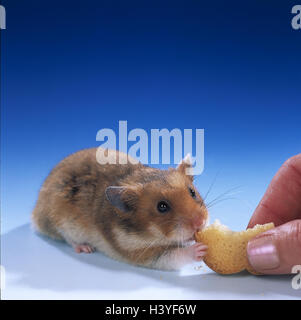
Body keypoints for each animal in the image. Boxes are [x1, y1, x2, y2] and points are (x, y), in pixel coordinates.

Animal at [31, 148, 207, 270]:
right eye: (162, 206)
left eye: (192, 192)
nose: (201, 223)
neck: (151, 233)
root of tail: (36, 210)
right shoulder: (140, 252)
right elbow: (174, 256)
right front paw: (199, 249)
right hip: (63, 221)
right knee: (67, 237)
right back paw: (85, 248)